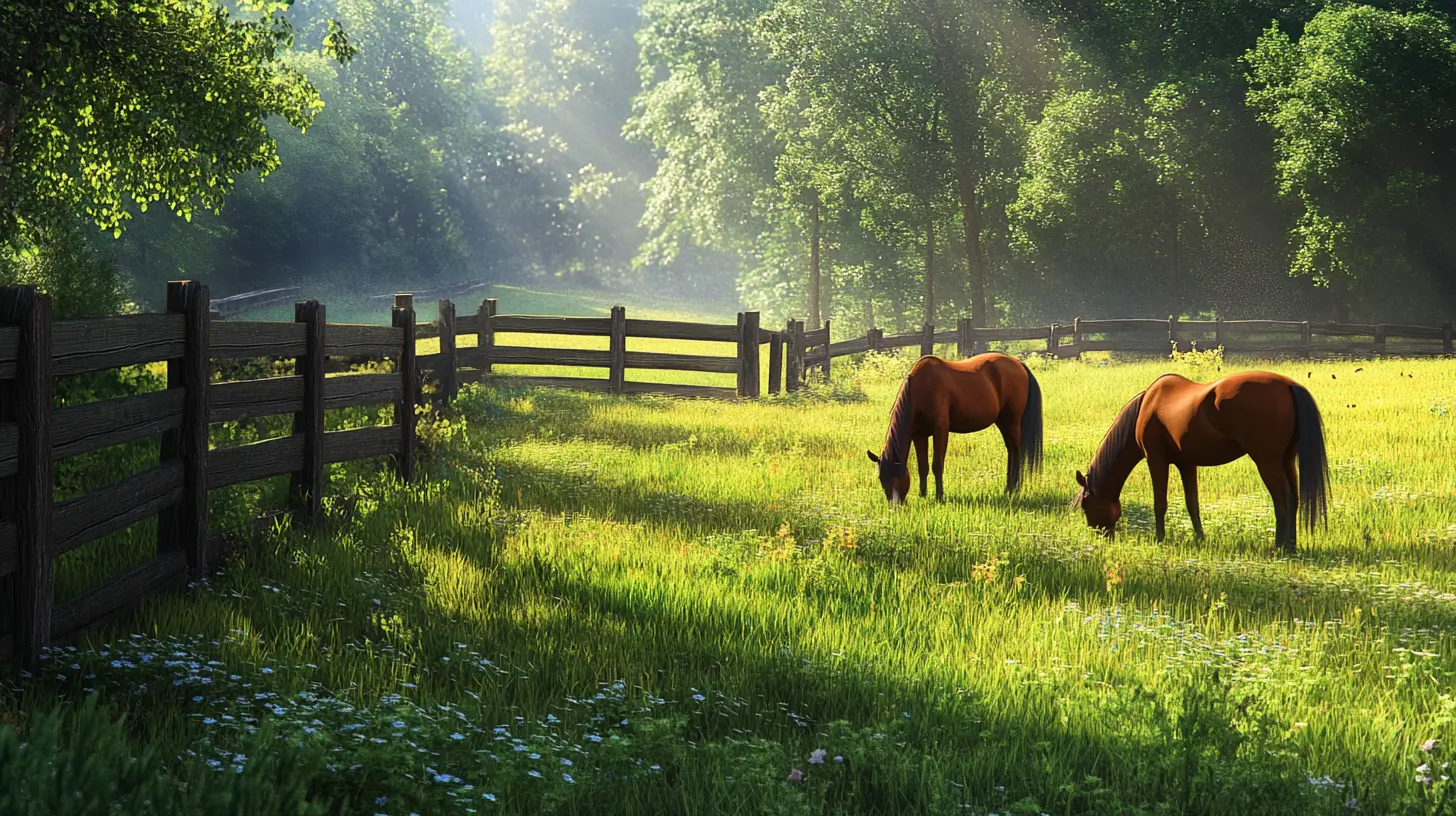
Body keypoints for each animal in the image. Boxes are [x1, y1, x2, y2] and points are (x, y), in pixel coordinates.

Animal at [867, 353, 1044, 504]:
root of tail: (1019, 364)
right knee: (1011, 452)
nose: (895, 506)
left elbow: (937, 464)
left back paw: (1015, 489)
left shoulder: (940, 431)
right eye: (881, 479)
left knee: (1016, 452)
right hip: (1003, 422)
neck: (922, 388)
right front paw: (923, 495)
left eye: (897, 476)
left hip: (1012, 422)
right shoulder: (919, 435)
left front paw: (939, 496)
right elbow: (923, 467)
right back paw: (1008, 489)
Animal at [1072, 370, 1330, 552]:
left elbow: (1160, 503)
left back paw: (1279, 546)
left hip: (1267, 463)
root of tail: (1290, 386)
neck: (1148, 404)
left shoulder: (1156, 459)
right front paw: (1200, 538)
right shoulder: (1187, 464)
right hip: (1286, 461)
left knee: (1282, 500)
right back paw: (1292, 546)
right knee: (1294, 498)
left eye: (1086, 504)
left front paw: (1160, 539)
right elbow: (1192, 504)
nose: (1101, 536)